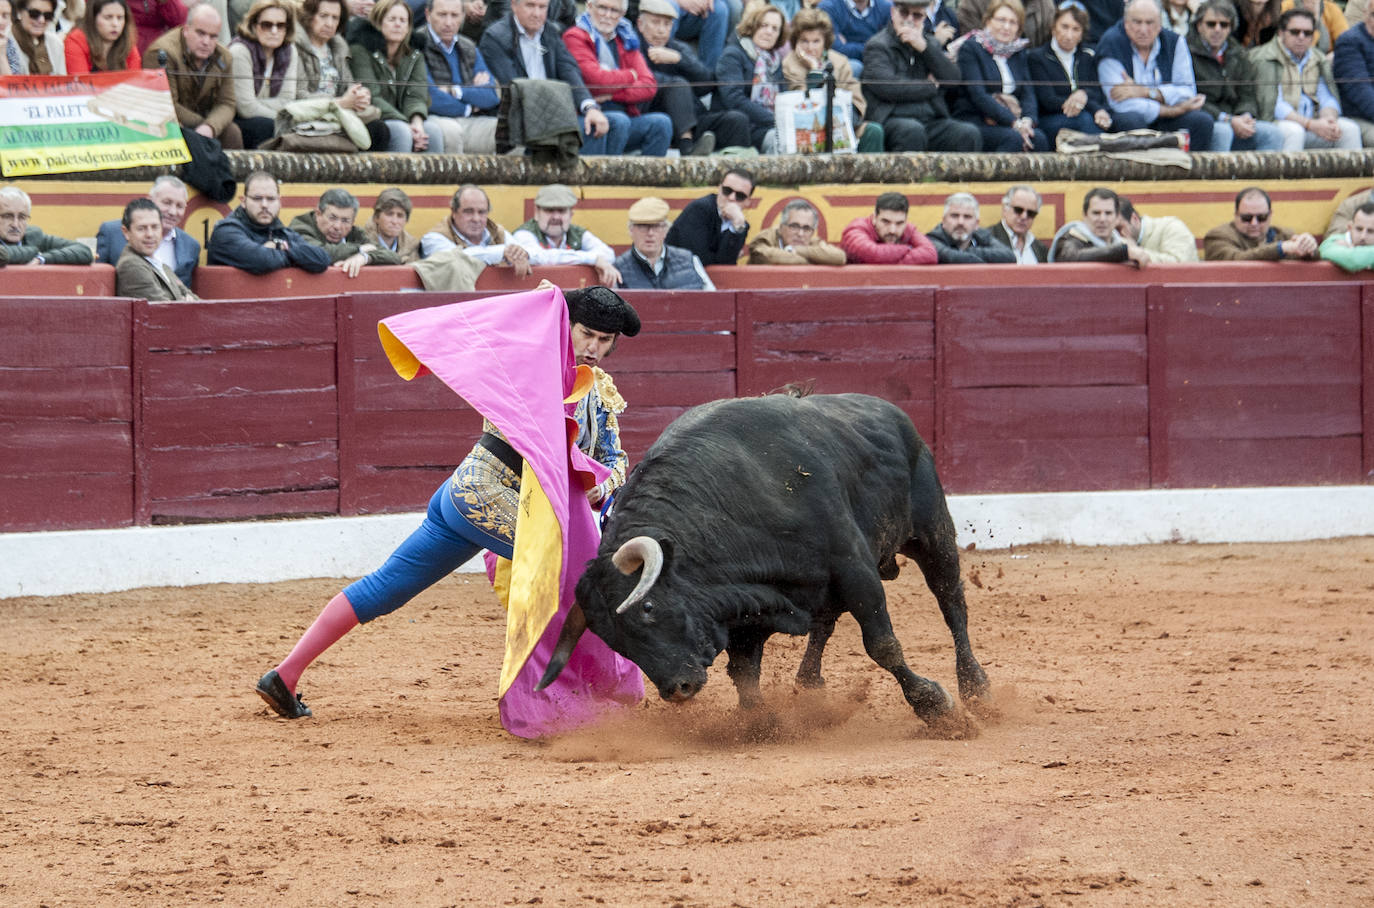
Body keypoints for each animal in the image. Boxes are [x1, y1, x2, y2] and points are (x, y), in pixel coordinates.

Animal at [535, 390, 989, 730]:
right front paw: (758, 722)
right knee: (825, 622)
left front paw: (936, 707)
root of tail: (893, 413)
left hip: (931, 533)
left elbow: (883, 645)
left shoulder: (853, 567)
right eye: (614, 639)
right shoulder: (742, 608)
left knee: (951, 602)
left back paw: (975, 687)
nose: (677, 690)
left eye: (647, 607)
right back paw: (809, 684)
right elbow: (744, 671)